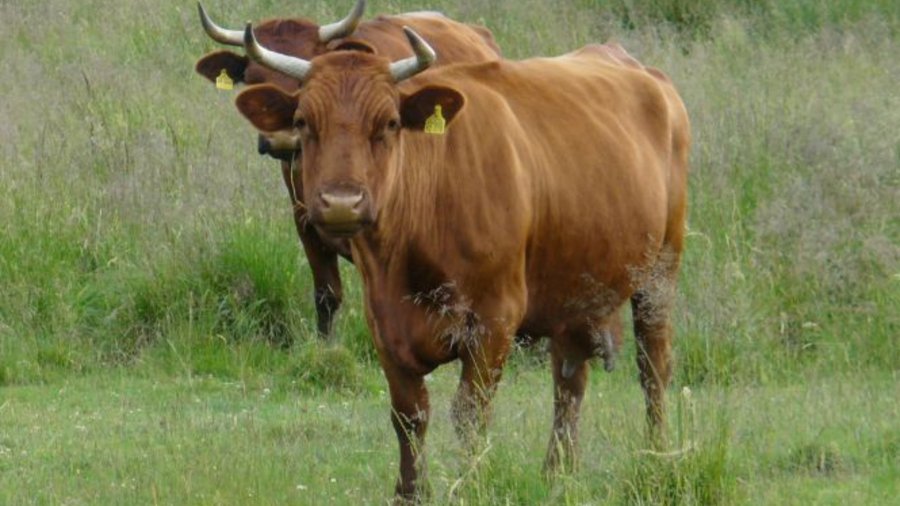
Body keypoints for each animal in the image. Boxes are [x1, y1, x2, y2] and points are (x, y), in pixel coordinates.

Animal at [237, 24, 688, 502]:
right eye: (303, 122)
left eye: (390, 123)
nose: (342, 202)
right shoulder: (383, 324)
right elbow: (408, 415)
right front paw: (410, 492)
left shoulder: (495, 320)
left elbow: (471, 412)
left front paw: (470, 485)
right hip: (572, 293)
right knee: (569, 383)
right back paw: (556, 474)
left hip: (660, 274)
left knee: (653, 370)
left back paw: (656, 458)